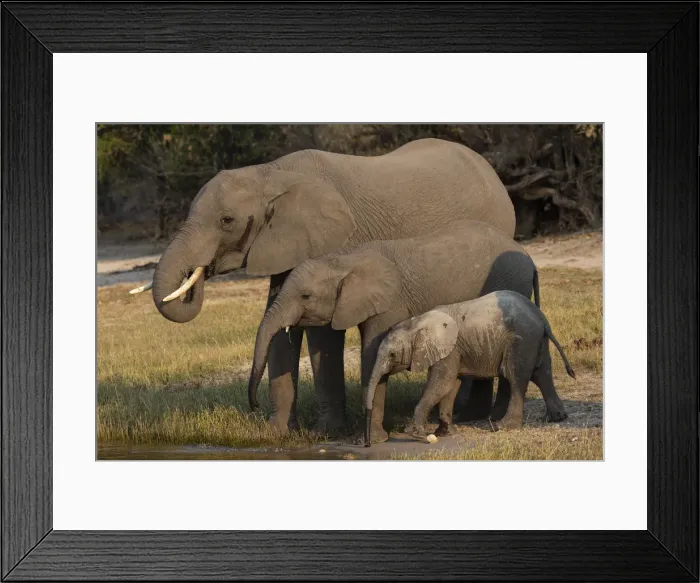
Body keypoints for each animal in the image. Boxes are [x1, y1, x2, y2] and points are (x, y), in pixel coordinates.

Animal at [131, 138, 516, 434]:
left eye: (227, 221)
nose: (251, 406)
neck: (271, 173)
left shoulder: (331, 243)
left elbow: (323, 332)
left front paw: (326, 433)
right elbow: (279, 324)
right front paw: (276, 433)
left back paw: (468, 414)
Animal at [247, 219, 539, 444]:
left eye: (306, 296)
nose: (255, 407)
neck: (344, 259)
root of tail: (528, 257)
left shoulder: (389, 303)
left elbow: (371, 355)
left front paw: (370, 441)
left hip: (509, 282)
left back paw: (495, 419)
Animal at [363, 291, 575, 445]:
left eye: (392, 355)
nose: (367, 444)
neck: (416, 322)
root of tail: (541, 318)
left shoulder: (449, 349)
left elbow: (442, 383)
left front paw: (414, 434)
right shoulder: (453, 350)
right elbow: (450, 385)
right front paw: (446, 432)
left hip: (521, 340)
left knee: (516, 377)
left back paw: (502, 427)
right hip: (535, 340)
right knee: (542, 373)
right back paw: (556, 418)